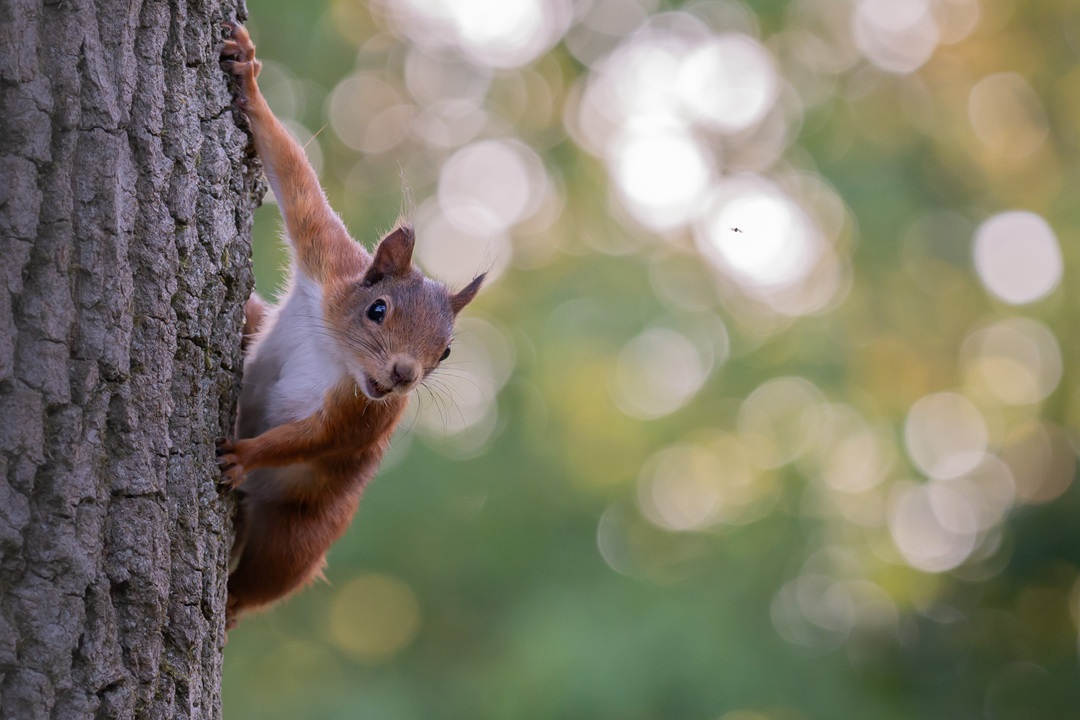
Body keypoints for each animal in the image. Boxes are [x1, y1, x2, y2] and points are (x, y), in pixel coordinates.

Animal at [217, 21, 483, 630]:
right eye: (377, 309)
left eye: (446, 353)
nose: (405, 375)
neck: (336, 352)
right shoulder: (329, 258)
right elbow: (292, 175)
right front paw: (248, 74)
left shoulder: (365, 415)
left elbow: (314, 438)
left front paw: (246, 455)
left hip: (301, 532)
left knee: (268, 577)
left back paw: (230, 605)